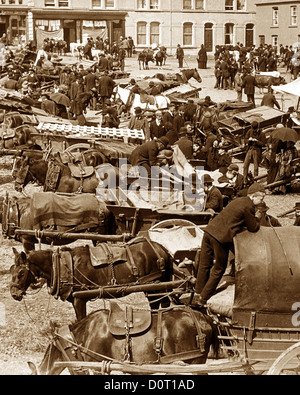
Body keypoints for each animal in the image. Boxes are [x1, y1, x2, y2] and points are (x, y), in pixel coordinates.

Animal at [9, 237, 173, 320]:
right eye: (11, 270)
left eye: (21, 273)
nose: (14, 294)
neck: (62, 265)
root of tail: (161, 248)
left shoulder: (80, 299)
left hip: (156, 285)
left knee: (161, 303)